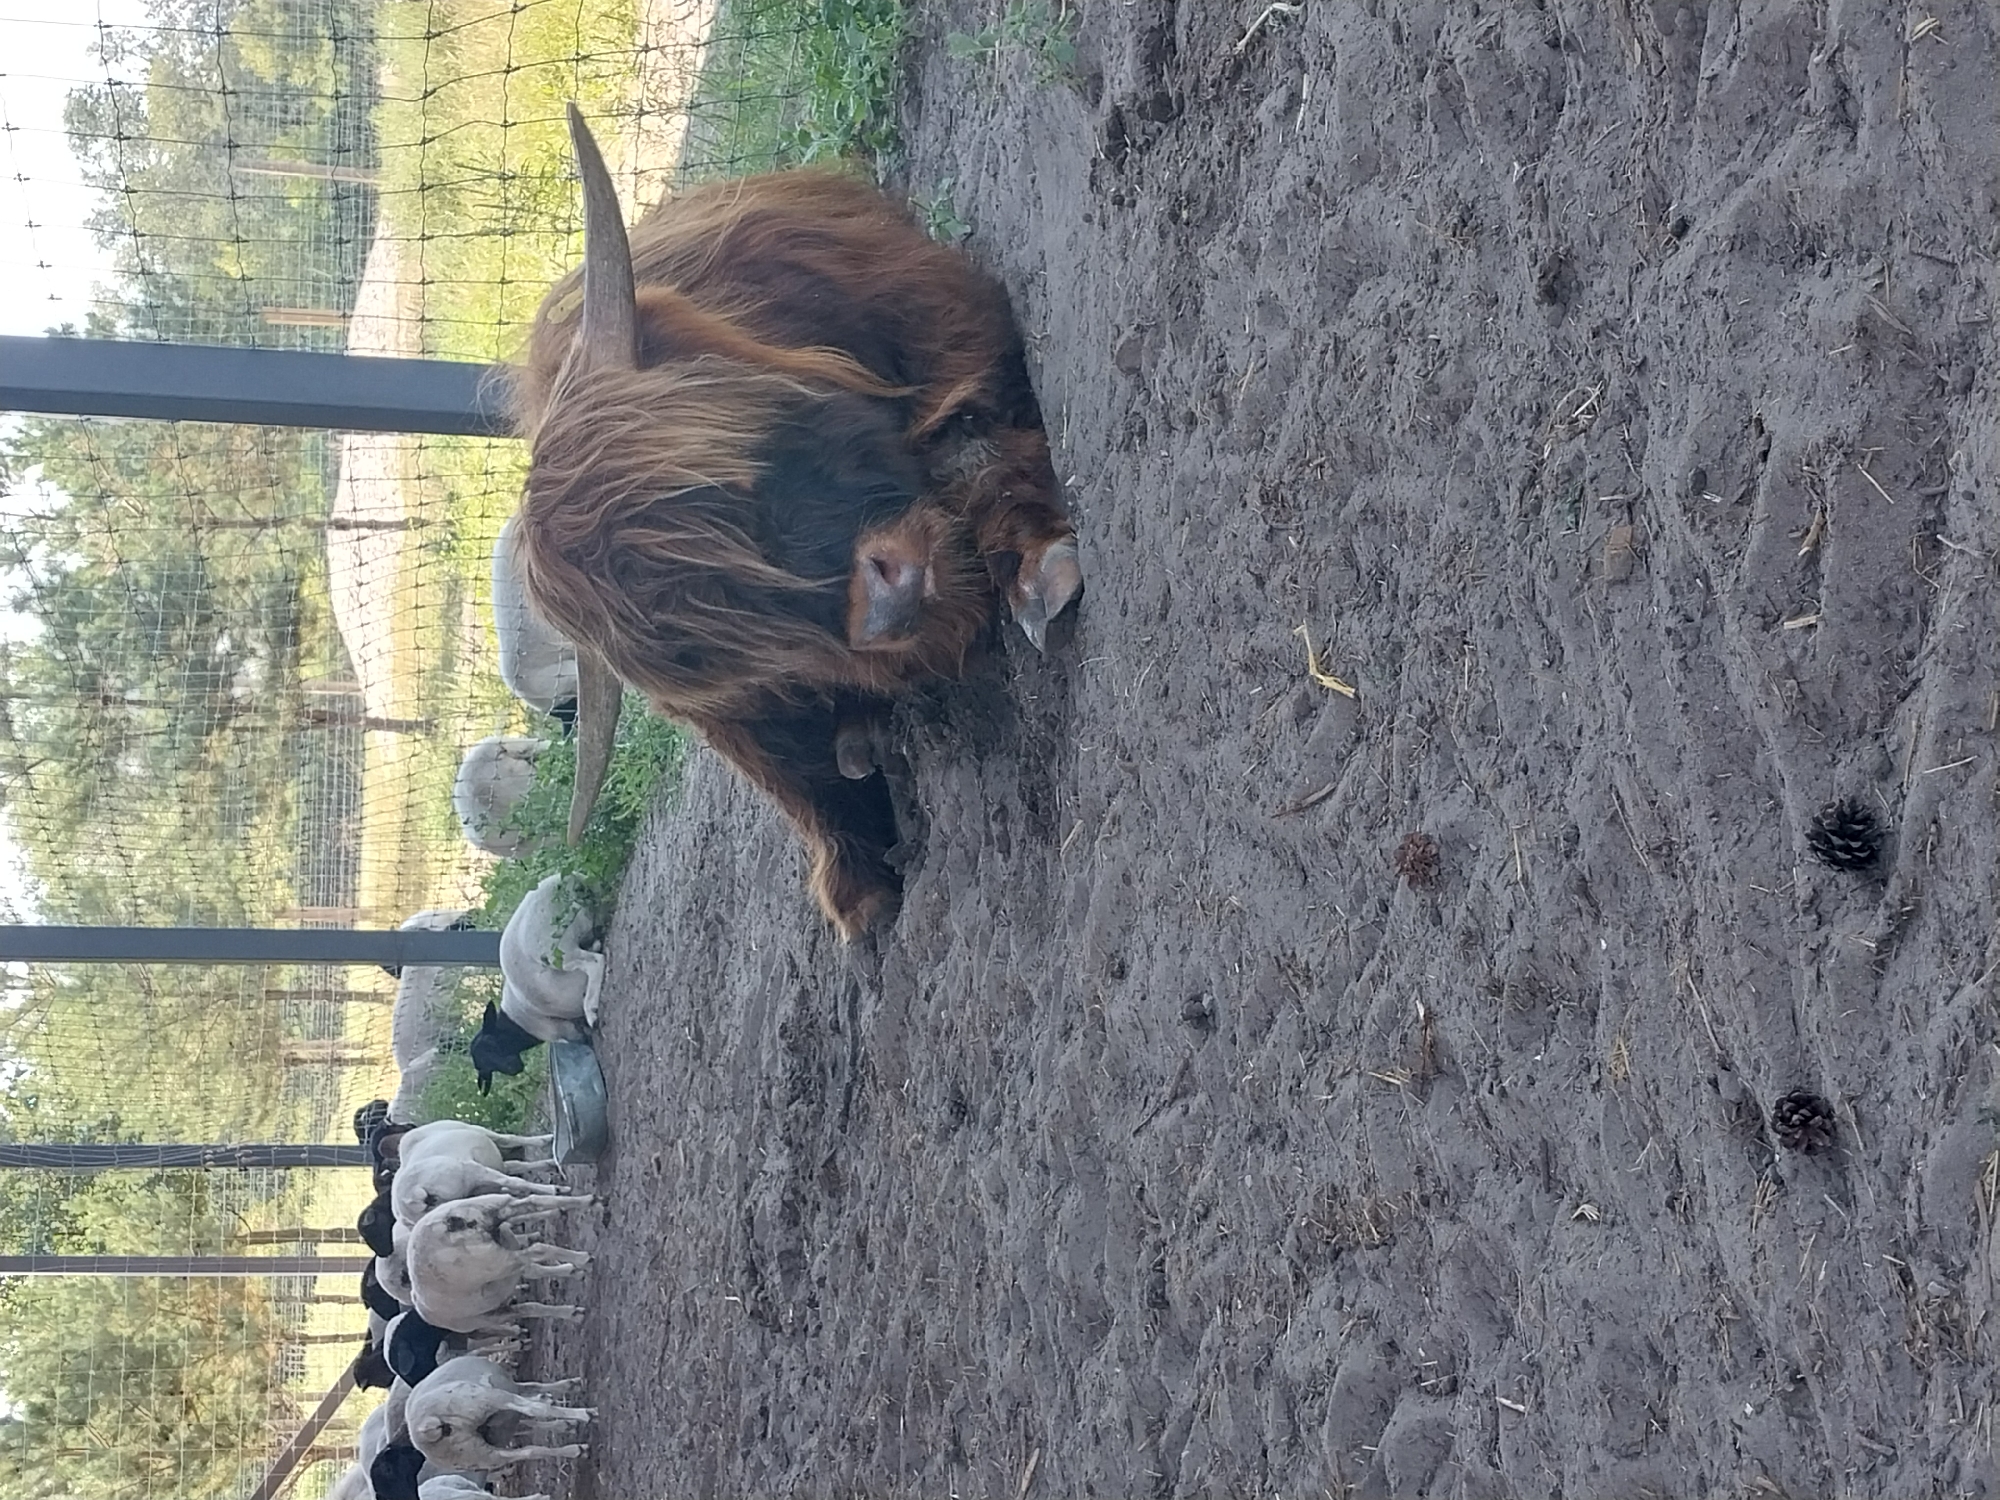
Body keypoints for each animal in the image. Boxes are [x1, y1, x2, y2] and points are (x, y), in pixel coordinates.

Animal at [405, 1192, 593, 1337]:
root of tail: (450, 1223)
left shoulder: (491, 1314)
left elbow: (531, 1306)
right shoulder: (512, 1272)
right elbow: (534, 1279)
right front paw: (573, 1272)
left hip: (497, 1260)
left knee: (538, 1248)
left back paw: (583, 1258)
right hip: (494, 1207)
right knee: (535, 1201)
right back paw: (591, 1201)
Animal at [405, 1354, 594, 1472]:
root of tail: (424, 1428)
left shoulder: (502, 1424)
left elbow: (532, 1405)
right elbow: (534, 1405)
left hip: (482, 1456)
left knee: (529, 1452)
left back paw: (576, 1450)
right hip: (487, 1399)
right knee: (533, 1410)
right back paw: (587, 1415)